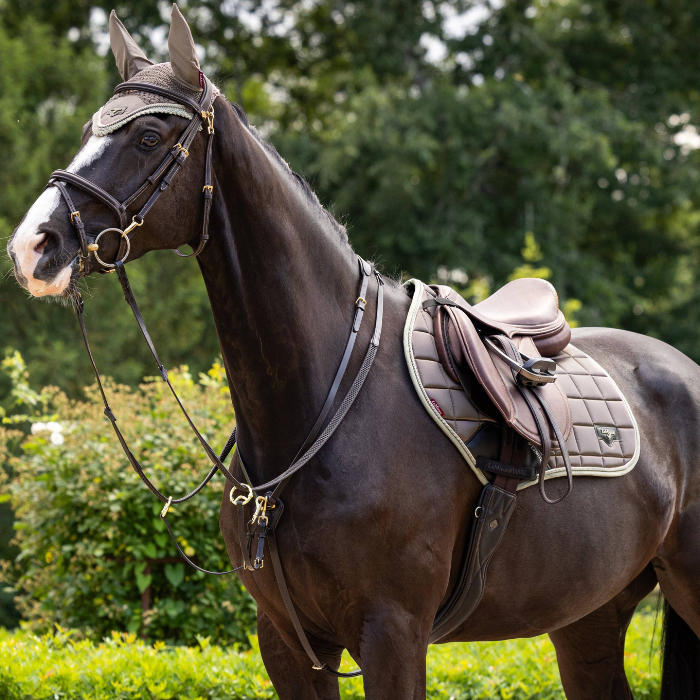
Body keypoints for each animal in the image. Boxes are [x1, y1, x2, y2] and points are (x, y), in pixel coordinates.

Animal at [8, 6, 700, 700]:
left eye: (149, 136)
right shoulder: (286, 641)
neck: (322, 404)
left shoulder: (393, 635)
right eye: (87, 130)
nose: (32, 245)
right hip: (588, 616)